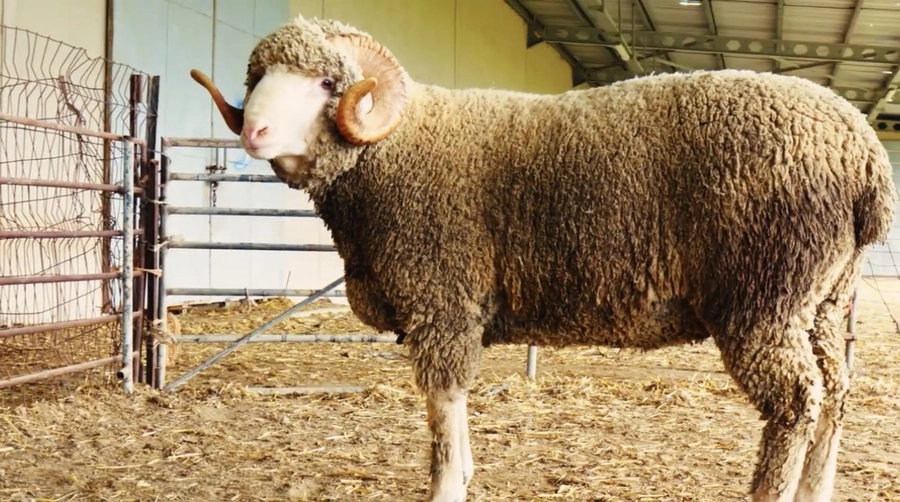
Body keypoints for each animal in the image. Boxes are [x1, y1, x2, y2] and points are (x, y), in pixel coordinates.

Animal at [189, 14, 897, 502]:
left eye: (329, 82)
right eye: (255, 78)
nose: (254, 130)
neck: (392, 150)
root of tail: (865, 153)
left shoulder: (442, 298)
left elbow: (441, 402)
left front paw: (447, 484)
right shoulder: (450, 308)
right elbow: (453, 404)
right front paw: (466, 473)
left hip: (765, 294)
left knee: (797, 402)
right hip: (823, 301)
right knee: (835, 393)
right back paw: (816, 489)